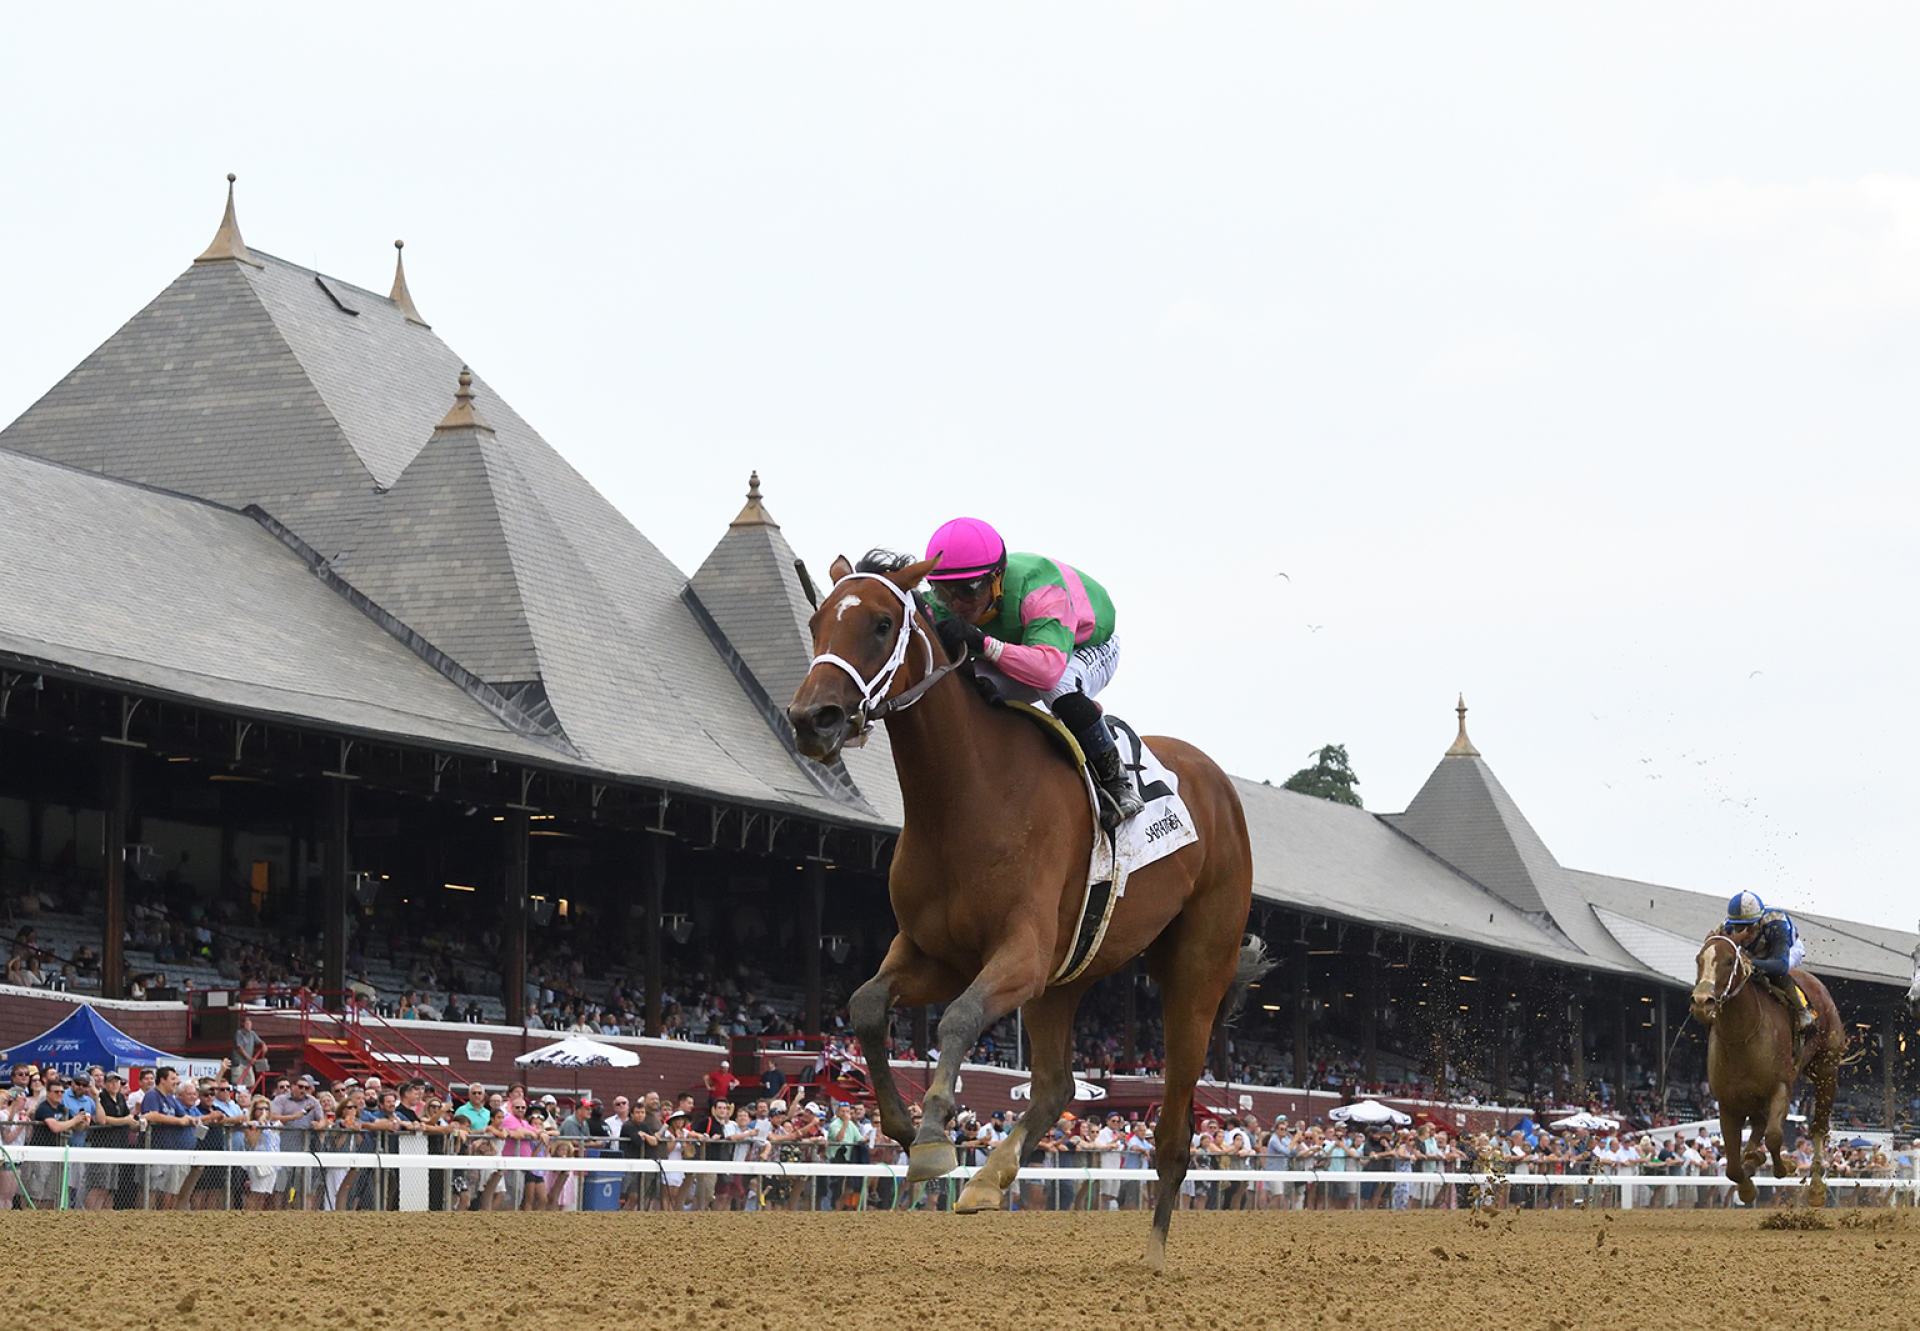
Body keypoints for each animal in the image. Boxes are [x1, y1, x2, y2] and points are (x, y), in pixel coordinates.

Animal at [787, 549, 1267, 1267]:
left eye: (880, 623)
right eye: (819, 620)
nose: (811, 718)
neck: (968, 796)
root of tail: (1220, 787)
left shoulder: (1021, 953)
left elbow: (958, 1019)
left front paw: (935, 1137)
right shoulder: (936, 952)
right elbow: (867, 1004)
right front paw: (901, 1125)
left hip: (1194, 971)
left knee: (1174, 1127)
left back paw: (1154, 1253)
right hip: (1066, 979)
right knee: (1057, 1086)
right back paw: (990, 1178)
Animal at [1697, 933, 1843, 1206]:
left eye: (1729, 960)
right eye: (1699, 959)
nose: (1702, 1001)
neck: (1742, 1036)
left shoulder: (1781, 1088)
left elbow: (1775, 1136)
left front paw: (1783, 1166)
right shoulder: (1728, 1102)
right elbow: (1732, 1166)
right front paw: (1748, 1180)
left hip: (1826, 1071)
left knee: (1818, 1127)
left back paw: (1816, 1186)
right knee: (1757, 1126)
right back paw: (1752, 1155)